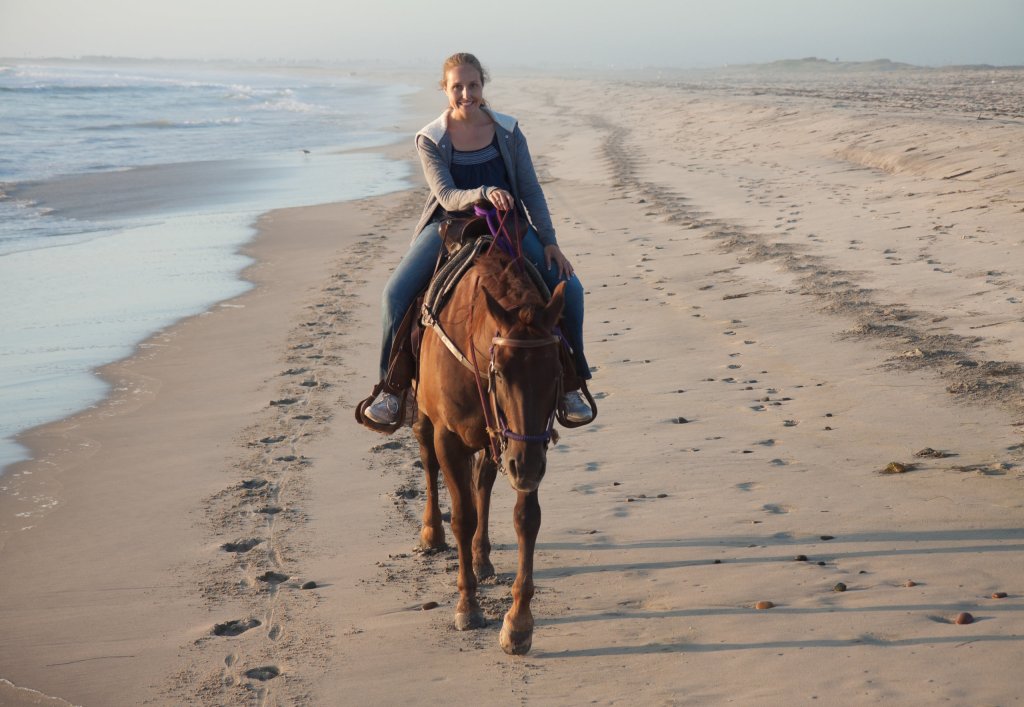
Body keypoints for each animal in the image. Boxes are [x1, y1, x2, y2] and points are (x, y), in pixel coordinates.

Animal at [411, 244, 565, 651]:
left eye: (557, 371)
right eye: (500, 372)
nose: (525, 467)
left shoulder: (526, 447)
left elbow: (526, 519)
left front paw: (518, 623)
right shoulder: (448, 438)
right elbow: (462, 517)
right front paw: (468, 606)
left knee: (482, 481)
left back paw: (482, 558)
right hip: (426, 417)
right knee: (428, 461)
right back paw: (431, 533)